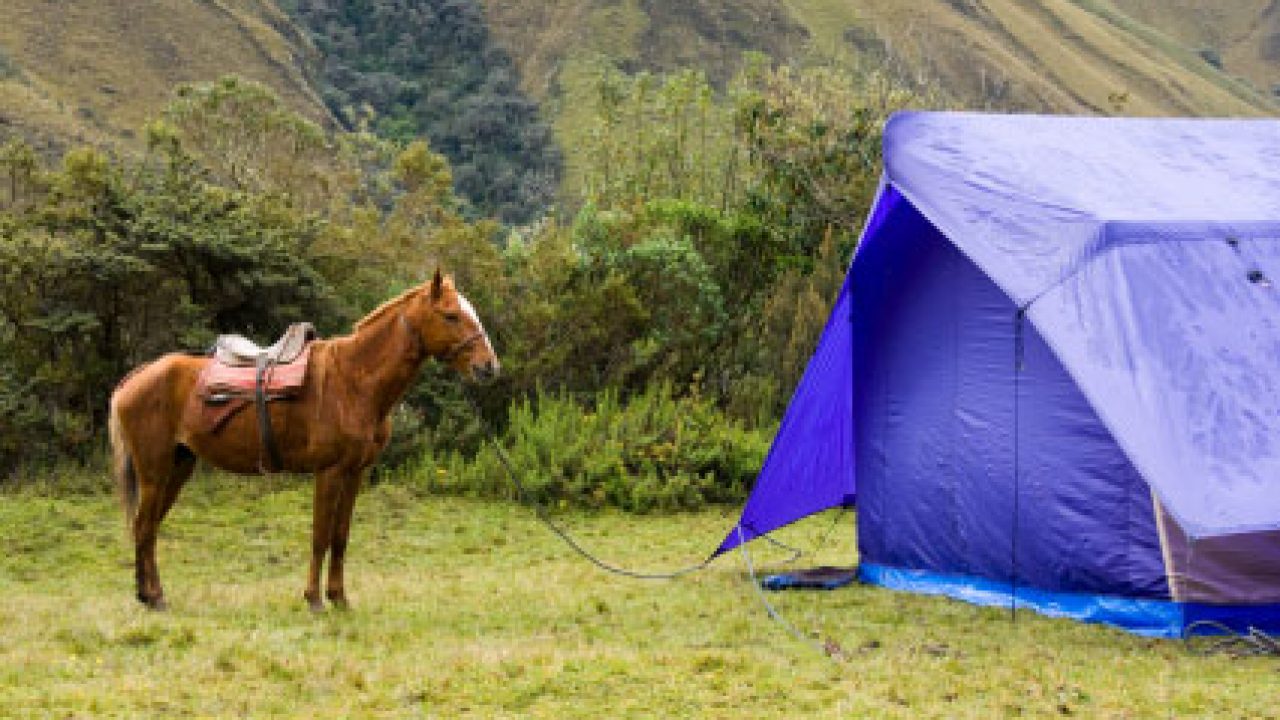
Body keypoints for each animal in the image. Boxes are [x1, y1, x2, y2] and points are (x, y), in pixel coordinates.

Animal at [108, 270, 499, 611]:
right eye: (451, 315)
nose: (489, 367)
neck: (354, 381)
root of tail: (137, 376)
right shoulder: (328, 472)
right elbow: (320, 536)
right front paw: (314, 599)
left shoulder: (354, 474)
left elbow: (340, 537)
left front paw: (339, 598)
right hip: (154, 472)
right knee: (144, 526)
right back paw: (153, 597)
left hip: (177, 468)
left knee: (148, 528)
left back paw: (149, 595)